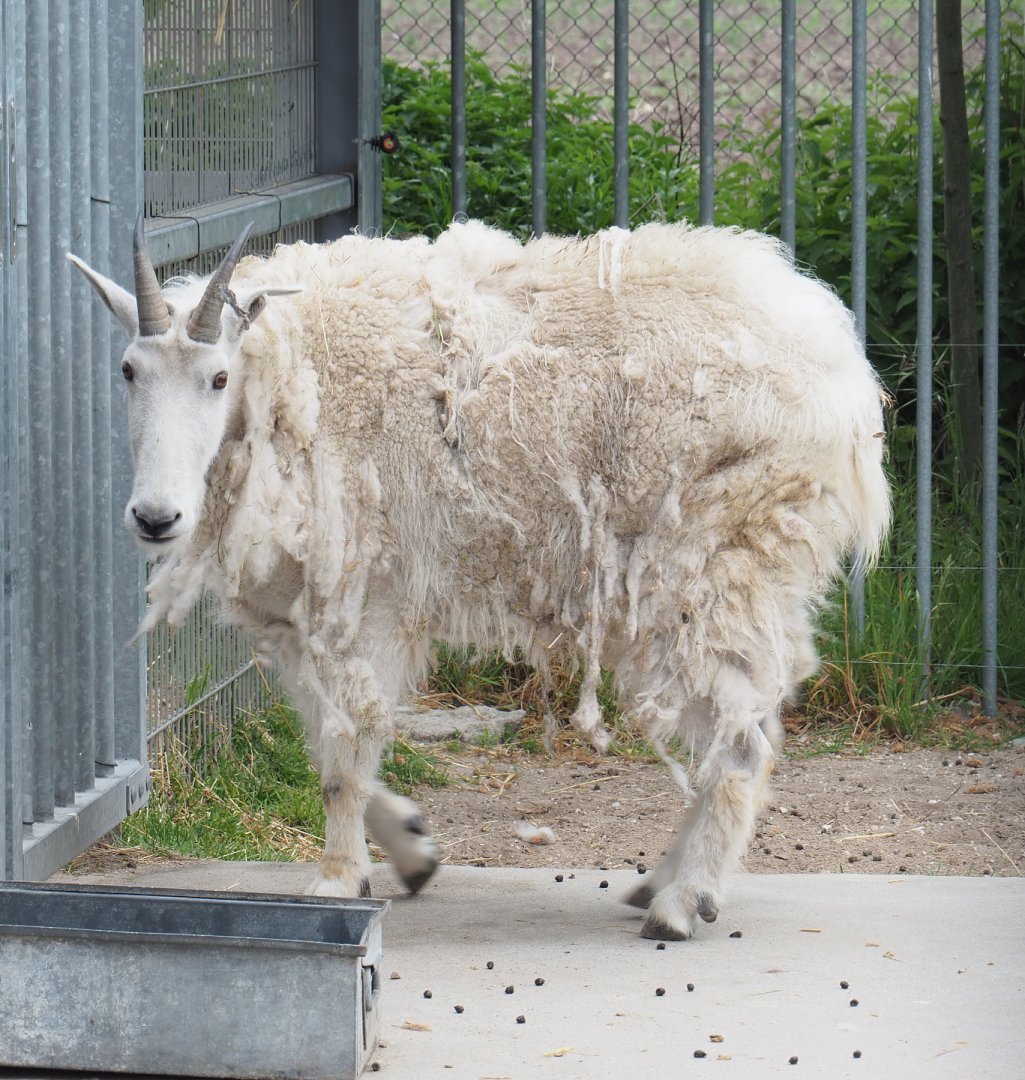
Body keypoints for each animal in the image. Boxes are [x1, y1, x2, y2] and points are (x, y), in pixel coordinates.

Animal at [70, 218, 889, 939]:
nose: (155, 517)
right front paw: (411, 849)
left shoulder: (371, 598)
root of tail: (843, 380)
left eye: (217, 377)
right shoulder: (300, 617)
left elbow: (346, 748)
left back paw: (681, 905)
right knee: (751, 715)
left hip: (708, 562)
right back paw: (662, 881)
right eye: (128, 370)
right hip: (741, 575)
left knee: (742, 735)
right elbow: (322, 739)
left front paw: (336, 880)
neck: (290, 382)